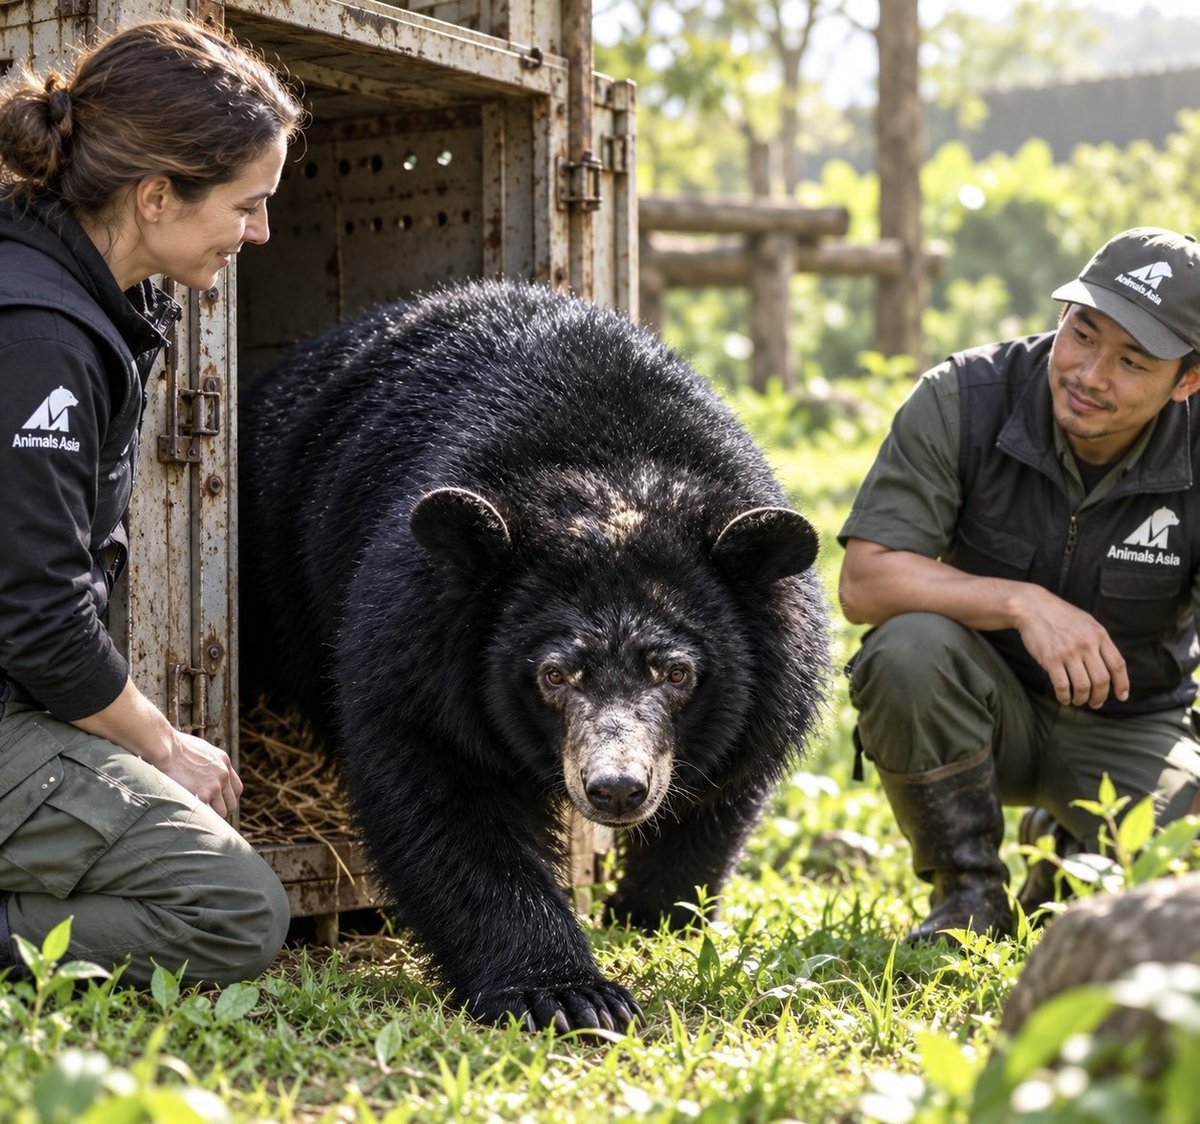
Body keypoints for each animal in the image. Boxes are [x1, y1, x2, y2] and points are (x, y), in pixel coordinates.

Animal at [237, 280, 829, 1032]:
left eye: (676, 673)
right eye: (554, 675)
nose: (616, 788)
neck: (614, 472)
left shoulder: (771, 677)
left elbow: (723, 786)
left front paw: (657, 913)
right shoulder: (419, 643)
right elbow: (445, 794)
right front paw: (568, 995)